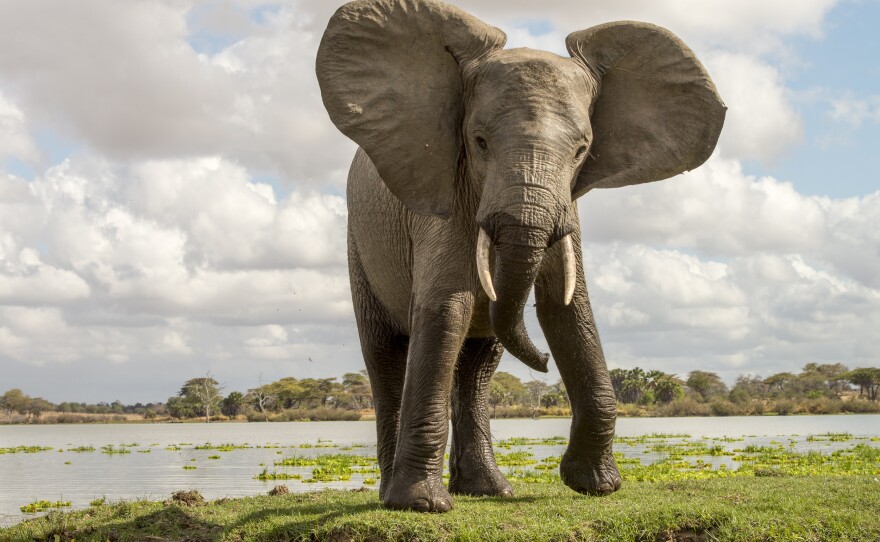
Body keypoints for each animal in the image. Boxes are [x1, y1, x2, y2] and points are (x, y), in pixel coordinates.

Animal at [314, 0, 720, 516]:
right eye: (479, 141)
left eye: (582, 150)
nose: (542, 362)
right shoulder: (444, 202)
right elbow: (446, 309)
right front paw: (422, 505)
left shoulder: (568, 208)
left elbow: (568, 309)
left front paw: (596, 485)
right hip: (357, 243)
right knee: (385, 352)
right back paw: (395, 495)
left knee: (478, 363)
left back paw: (489, 490)